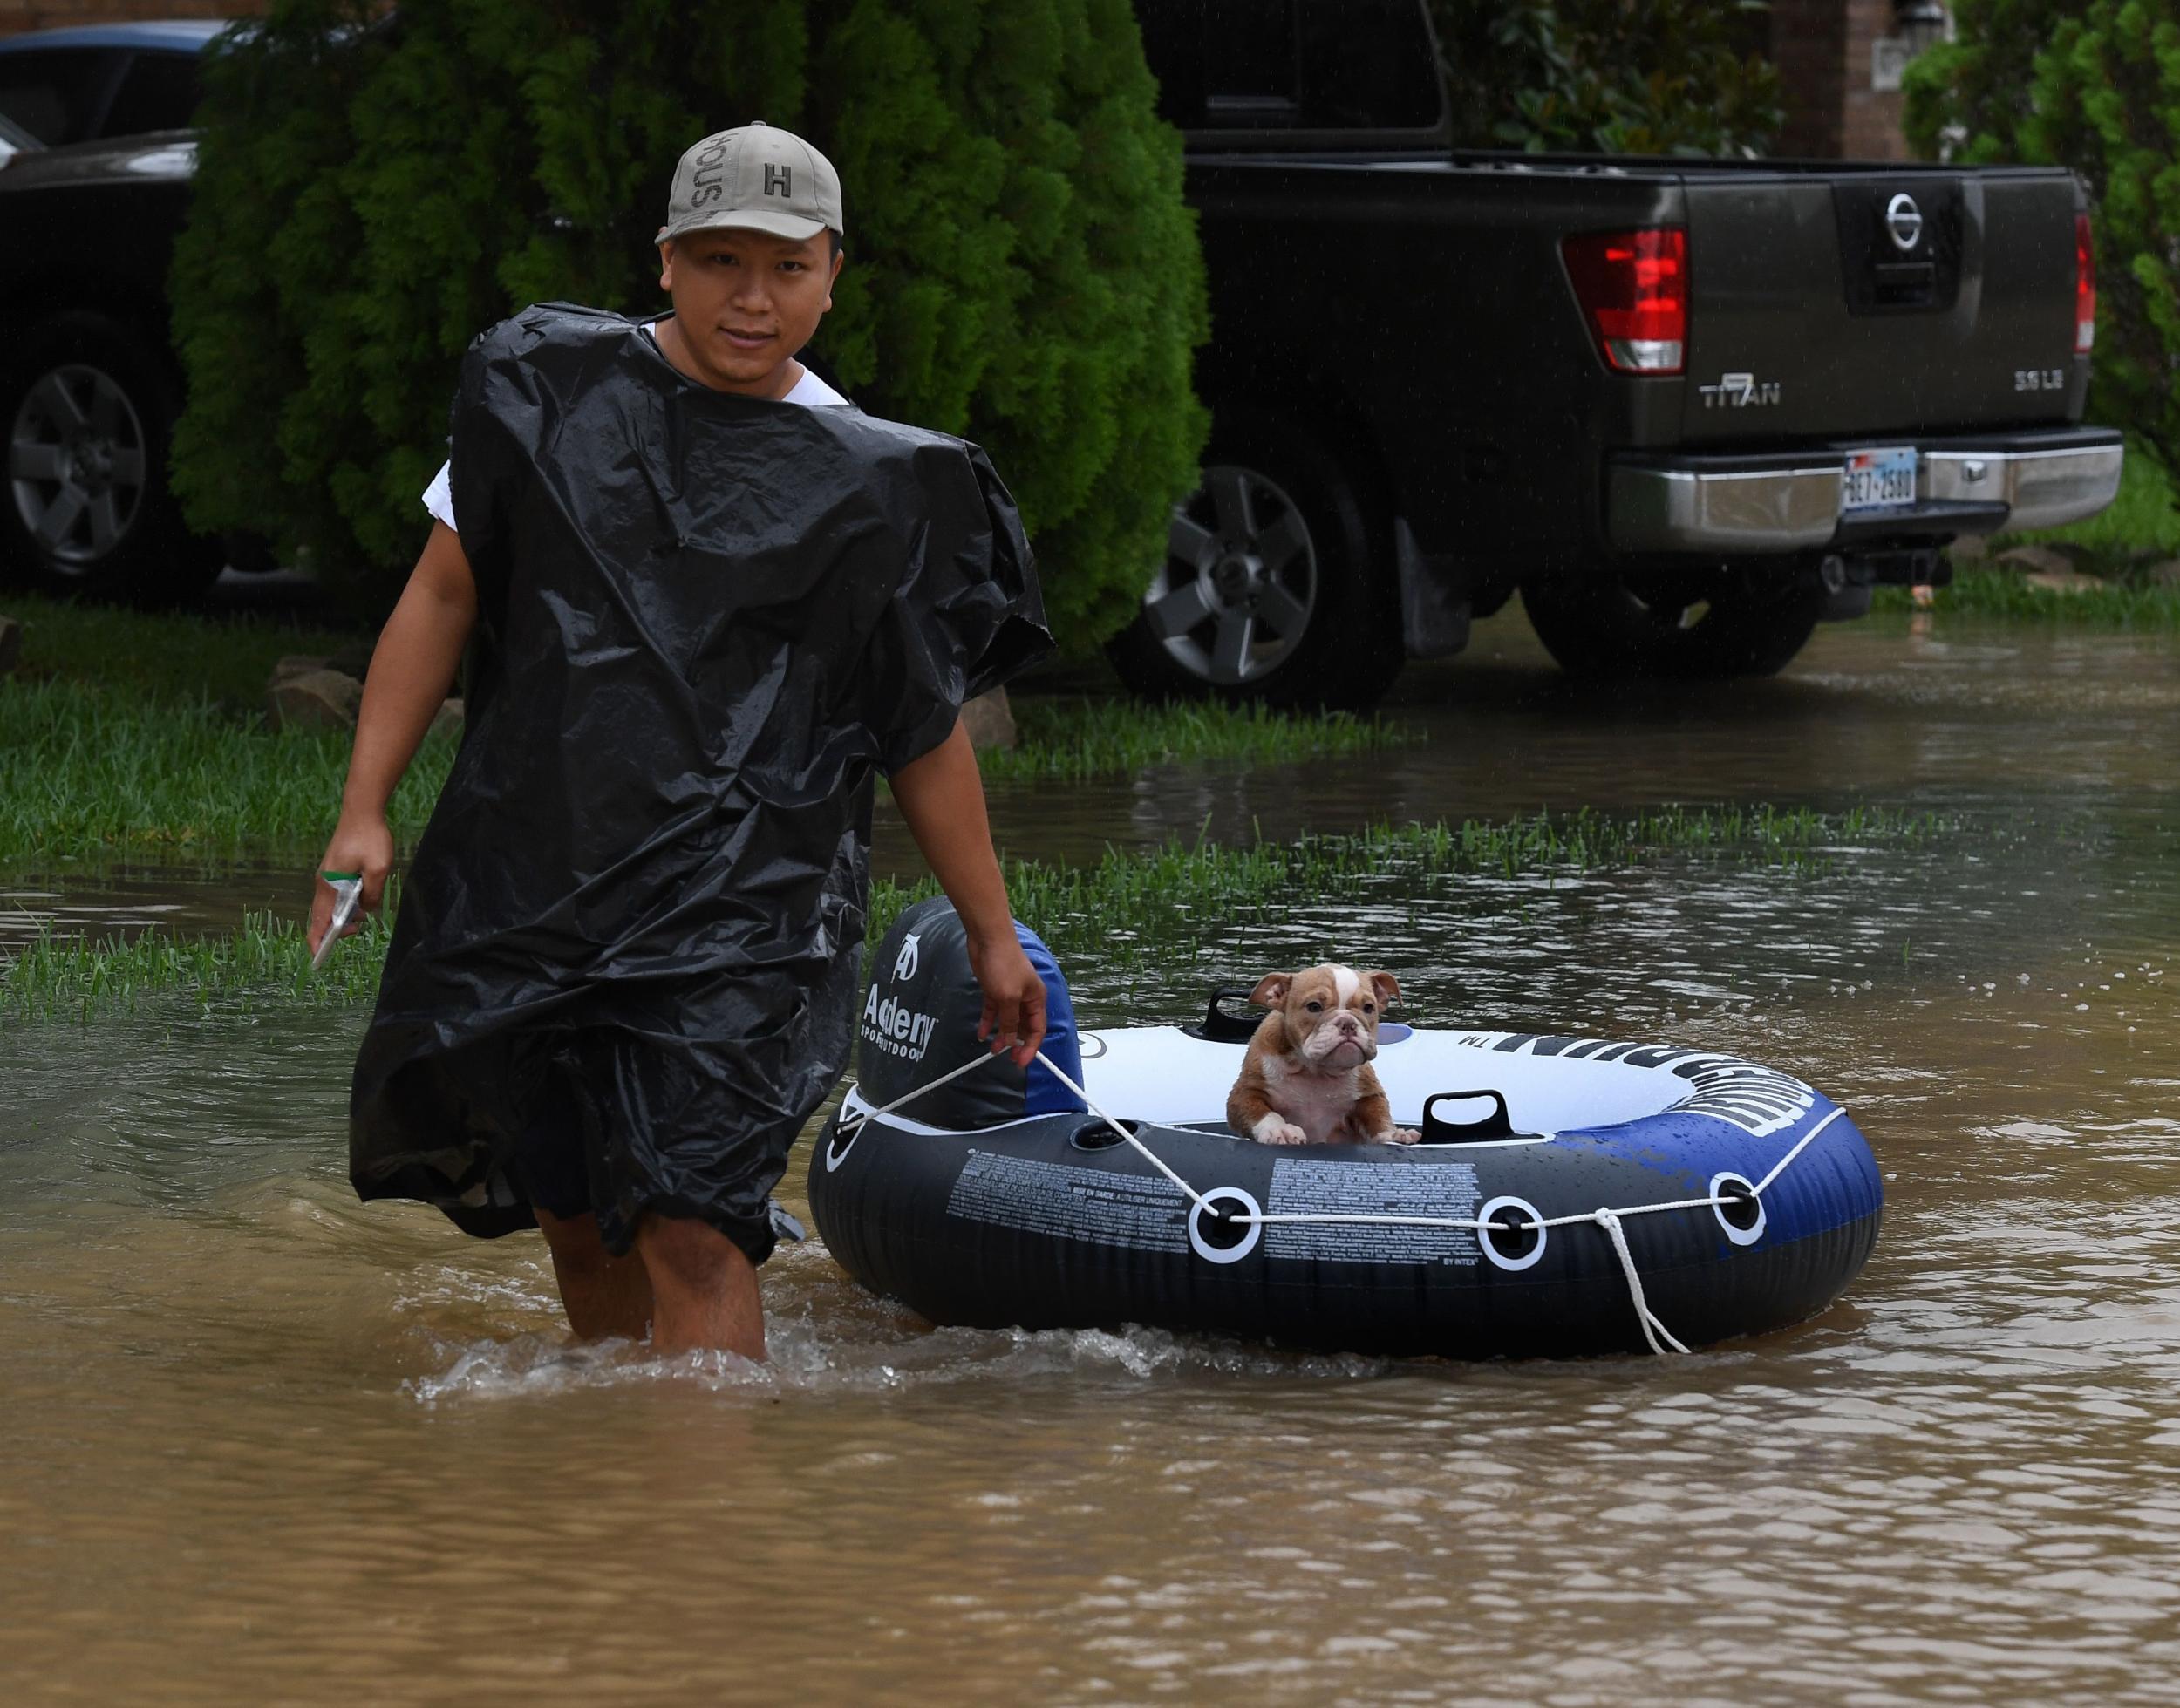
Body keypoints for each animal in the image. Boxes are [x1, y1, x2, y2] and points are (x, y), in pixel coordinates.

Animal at [1230, 958, 1413, 1150]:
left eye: (1369, 1007)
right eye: (1314, 1006)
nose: (1348, 1022)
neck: (1315, 1071)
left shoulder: (1369, 1096)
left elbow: (1377, 1118)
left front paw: (1394, 1134)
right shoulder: (1244, 1093)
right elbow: (1262, 1112)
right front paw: (1280, 1129)